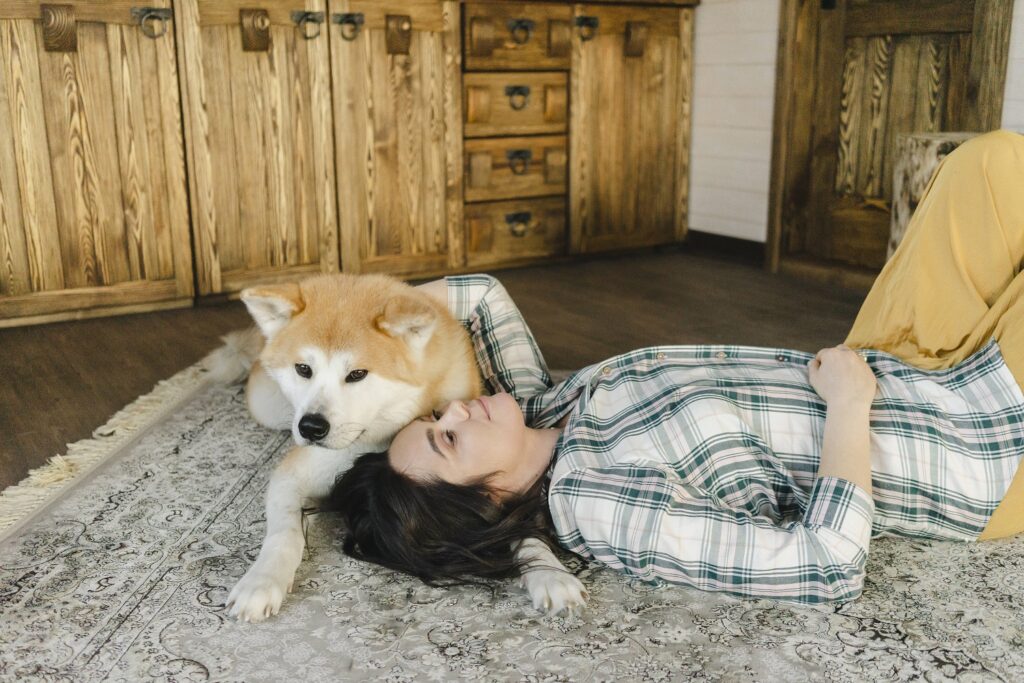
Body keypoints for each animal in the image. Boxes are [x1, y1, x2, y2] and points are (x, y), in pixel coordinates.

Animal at [206, 274, 589, 626]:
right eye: (304, 369)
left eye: (357, 374)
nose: (311, 427)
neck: (391, 427)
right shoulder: (294, 474)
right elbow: (284, 534)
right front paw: (262, 581)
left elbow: (525, 527)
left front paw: (549, 572)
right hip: (268, 405)